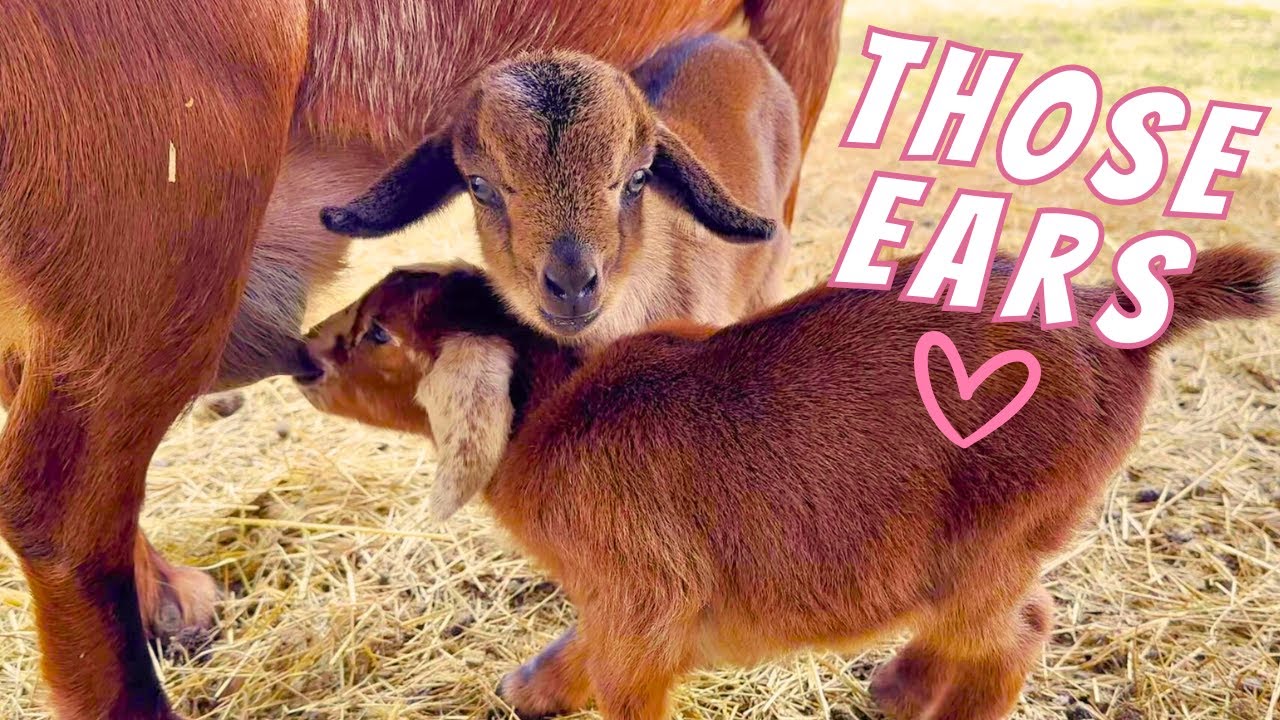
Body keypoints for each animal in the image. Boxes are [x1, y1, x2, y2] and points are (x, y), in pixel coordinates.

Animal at [298, 246, 1277, 719]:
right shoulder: (620, 607)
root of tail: (1120, 317)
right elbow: (580, 655)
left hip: (999, 534)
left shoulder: (641, 595)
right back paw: (895, 691)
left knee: (1015, 633)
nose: (305, 355)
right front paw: (530, 691)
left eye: (380, 334)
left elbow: (623, 680)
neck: (555, 404)